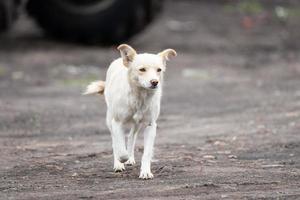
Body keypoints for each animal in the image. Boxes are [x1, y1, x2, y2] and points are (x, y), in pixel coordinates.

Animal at [84, 43, 177, 178]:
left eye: (159, 70)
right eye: (142, 69)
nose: (155, 82)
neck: (140, 98)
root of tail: (119, 60)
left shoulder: (150, 125)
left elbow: (146, 152)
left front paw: (145, 172)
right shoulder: (117, 122)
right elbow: (120, 148)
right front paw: (121, 159)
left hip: (137, 124)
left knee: (131, 137)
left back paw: (130, 158)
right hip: (110, 120)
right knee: (115, 141)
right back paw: (119, 164)